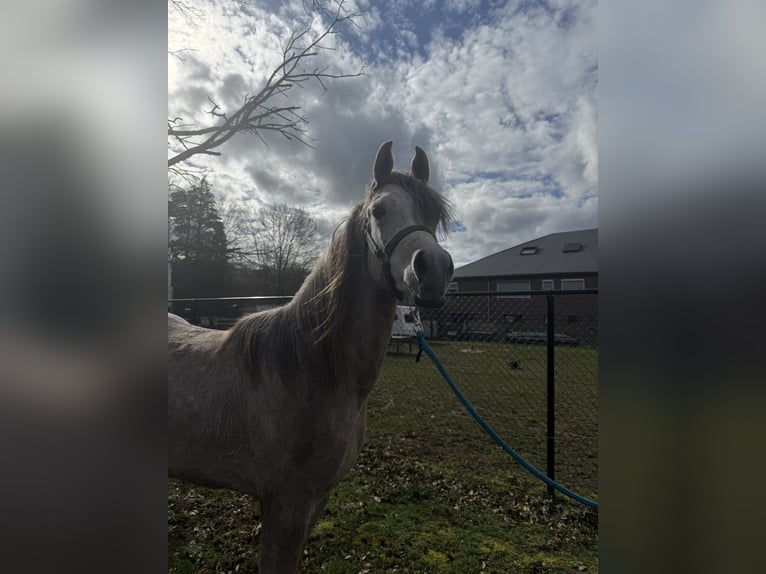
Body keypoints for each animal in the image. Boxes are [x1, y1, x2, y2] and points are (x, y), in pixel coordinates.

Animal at [168, 141, 454, 573]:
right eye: (379, 211)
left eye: (434, 215)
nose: (433, 269)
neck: (311, 371)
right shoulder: (285, 505)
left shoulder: (316, 501)